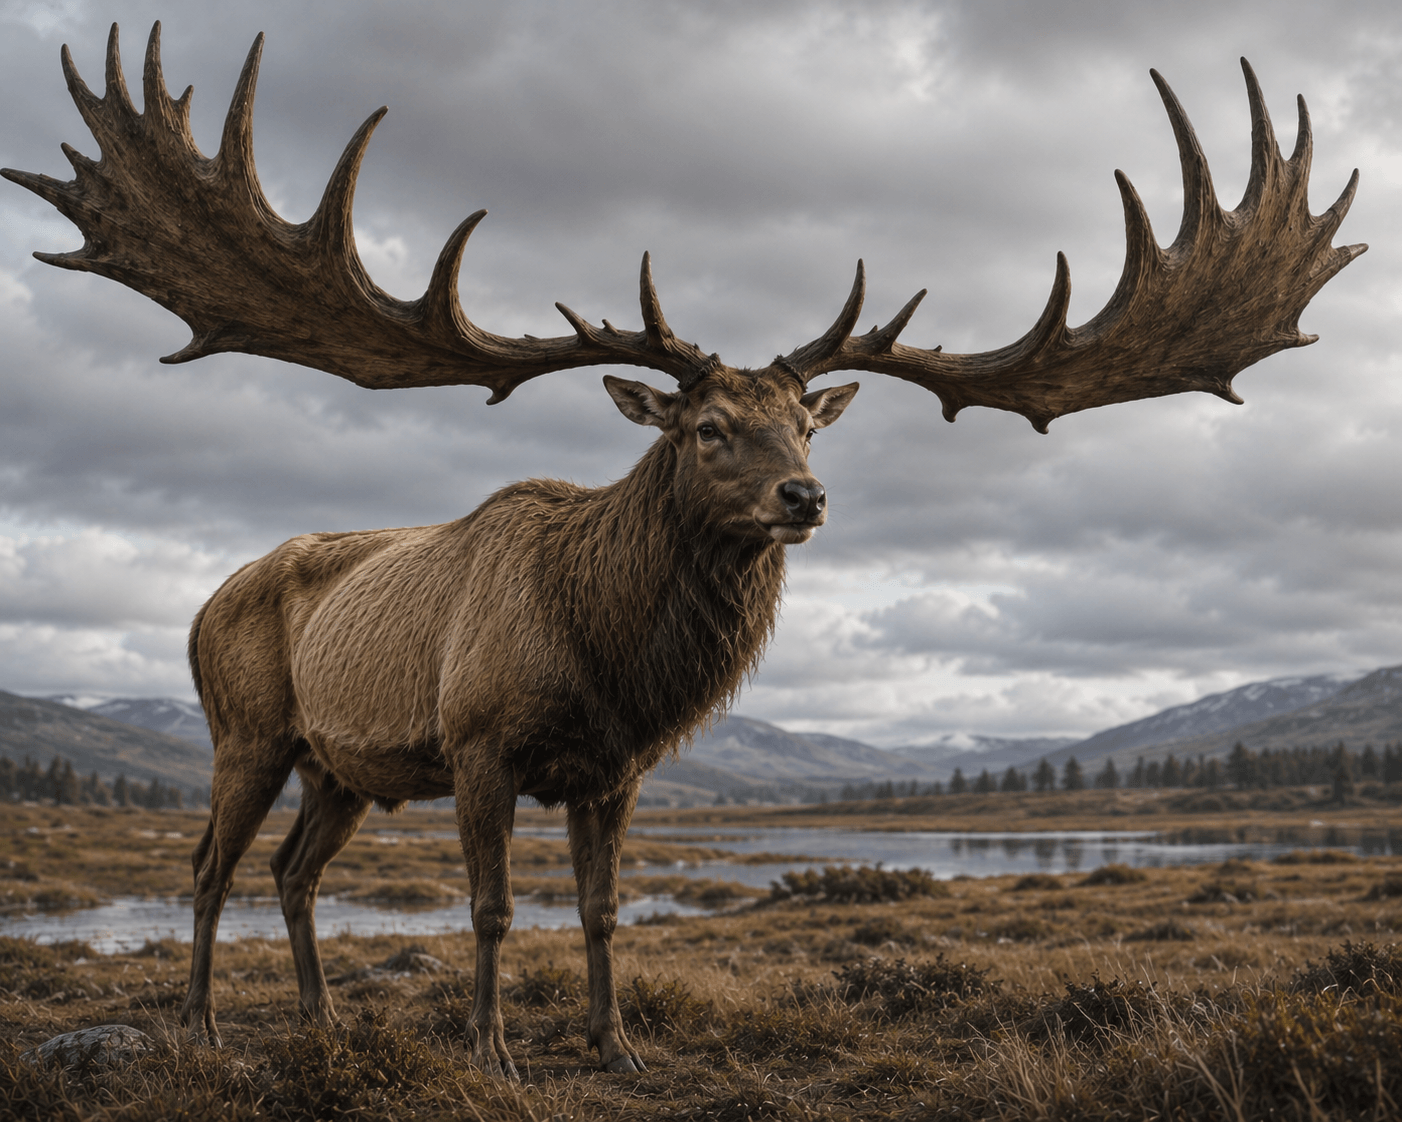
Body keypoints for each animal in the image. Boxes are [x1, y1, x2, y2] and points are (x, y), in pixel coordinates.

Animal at [4, 22, 1364, 1079]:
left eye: (806, 422)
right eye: (708, 427)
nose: (805, 497)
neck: (607, 654)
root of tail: (205, 597)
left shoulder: (616, 768)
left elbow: (605, 914)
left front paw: (614, 1045)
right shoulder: (480, 740)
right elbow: (492, 909)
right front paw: (493, 1051)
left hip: (344, 766)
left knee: (291, 873)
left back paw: (324, 1022)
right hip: (247, 727)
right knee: (207, 868)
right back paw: (201, 1028)